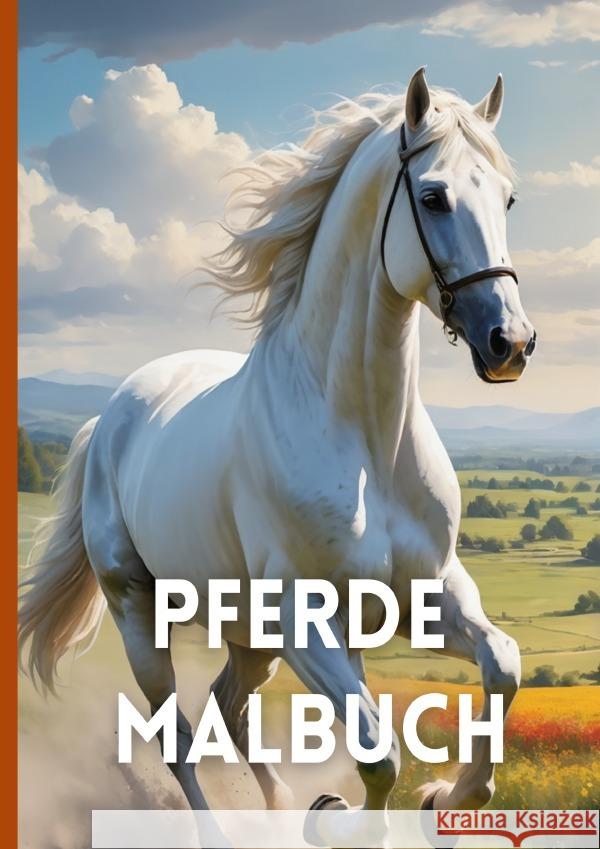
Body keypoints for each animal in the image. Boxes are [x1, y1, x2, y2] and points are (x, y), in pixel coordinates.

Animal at [19, 68, 536, 836]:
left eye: (506, 197)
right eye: (434, 196)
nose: (511, 343)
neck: (365, 443)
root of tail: (109, 417)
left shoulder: (427, 594)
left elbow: (501, 664)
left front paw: (444, 796)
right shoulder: (303, 619)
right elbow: (378, 752)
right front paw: (342, 817)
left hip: (249, 637)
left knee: (229, 706)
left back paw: (281, 806)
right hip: (140, 611)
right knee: (178, 732)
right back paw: (224, 830)